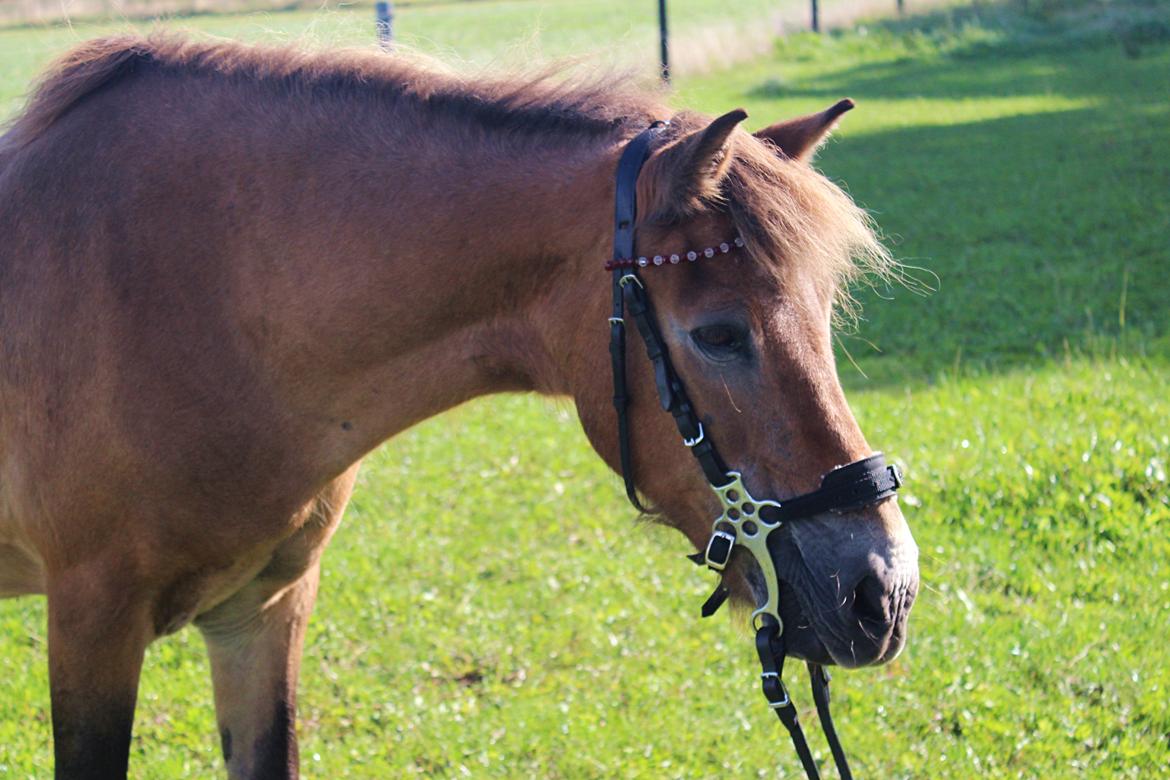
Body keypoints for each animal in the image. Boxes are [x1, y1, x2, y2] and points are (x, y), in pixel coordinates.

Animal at [0, 35, 917, 780]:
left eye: (825, 315)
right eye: (720, 333)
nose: (886, 590)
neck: (195, 299)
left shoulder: (261, 611)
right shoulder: (93, 626)